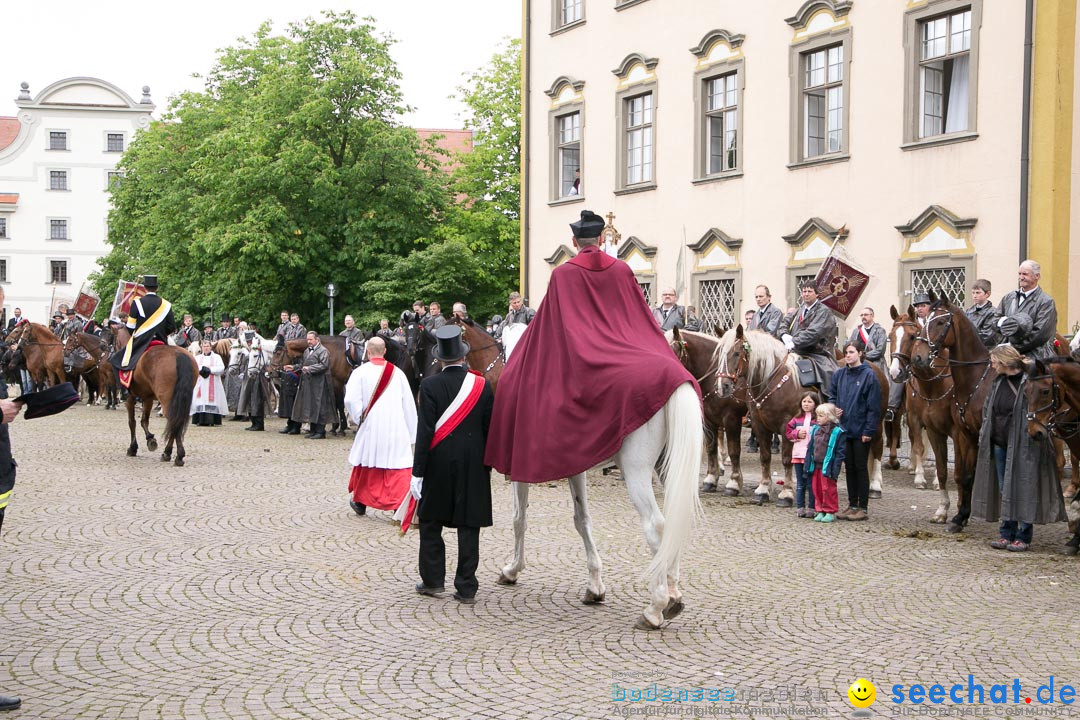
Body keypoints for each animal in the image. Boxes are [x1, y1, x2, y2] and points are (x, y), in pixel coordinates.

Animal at [115, 328, 198, 468]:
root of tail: (178, 354)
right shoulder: (148, 398)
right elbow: (144, 420)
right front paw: (150, 440)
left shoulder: (131, 397)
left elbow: (132, 422)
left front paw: (134, 447)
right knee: (175, 422)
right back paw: (170, 453)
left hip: (166, 399)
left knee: (173, 421)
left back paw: (175, 455)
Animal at [494, 382, 704, 630]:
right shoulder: (574, 466)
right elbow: (581, 520)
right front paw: (595, 586)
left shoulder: (520, 464)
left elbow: (519, 520)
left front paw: (512, 569)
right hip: (669, 467)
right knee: (674, 523)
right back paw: (673, 593)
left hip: (636, 470)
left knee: (655, 526)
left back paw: (655, 607)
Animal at [665, 330, 743, 492]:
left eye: (673, 352)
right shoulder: (708, 418)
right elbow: (711, 447)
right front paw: (711, 479)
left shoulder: (732, 418)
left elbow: (734, 451)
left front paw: (734, 482)